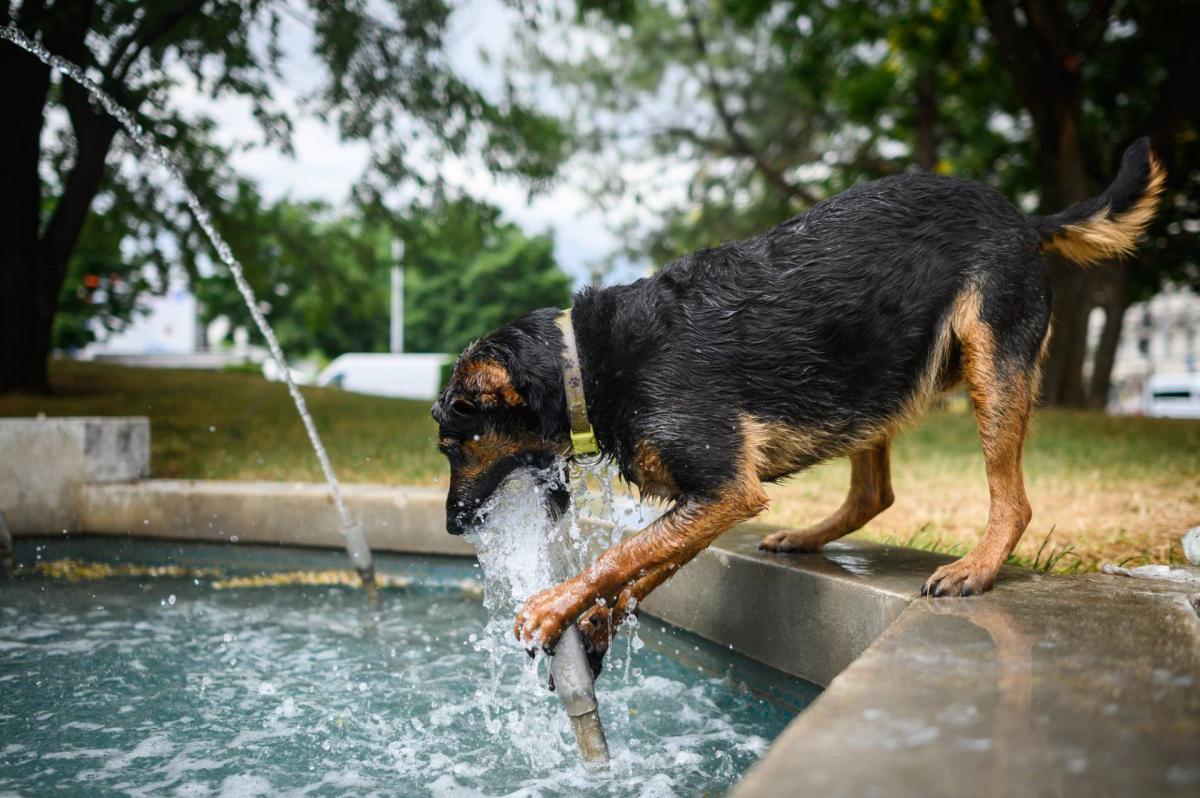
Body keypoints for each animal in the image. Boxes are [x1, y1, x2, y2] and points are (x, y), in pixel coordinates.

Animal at [429, 138, 1161, 652]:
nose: (453, 527)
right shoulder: (712, 500)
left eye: (451, 445)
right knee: (875, 494)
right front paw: (597, 620)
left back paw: (976, 568)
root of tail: (1025, 219)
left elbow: (618, 555)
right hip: (868, 376)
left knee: (1011, 501)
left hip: (990, 364)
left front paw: (553, 606)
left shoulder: (725, 488)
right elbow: (646, 566)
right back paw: (810, 537)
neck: (586, 358)